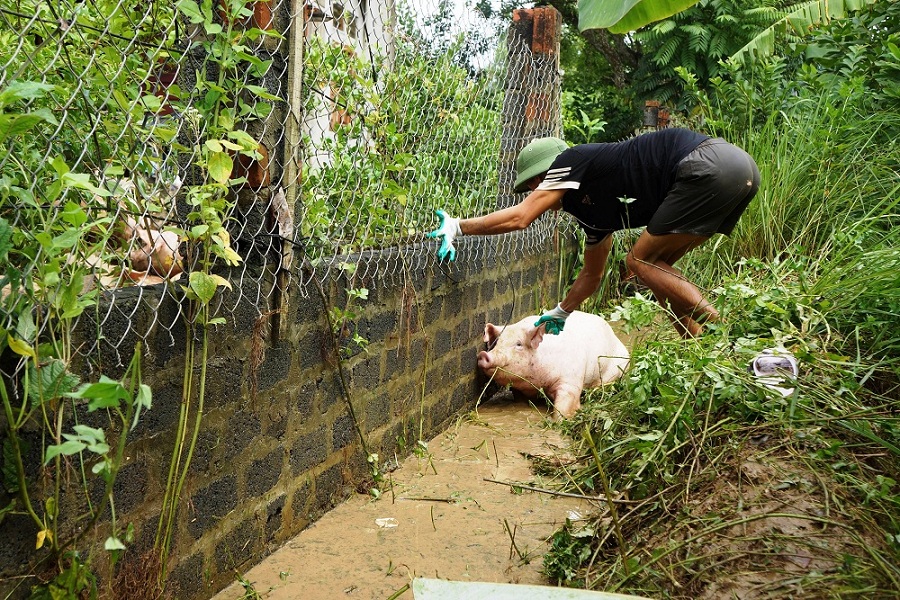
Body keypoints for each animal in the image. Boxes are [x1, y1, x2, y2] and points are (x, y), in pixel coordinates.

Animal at [474, 312, 628, 420]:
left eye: (518, 344)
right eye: (496, 343)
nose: (483, 354)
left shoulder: (571, 381)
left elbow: (564, 405)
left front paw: (559, 421)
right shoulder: (518, 388)